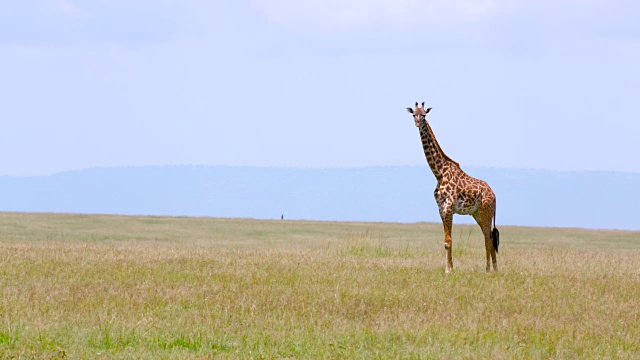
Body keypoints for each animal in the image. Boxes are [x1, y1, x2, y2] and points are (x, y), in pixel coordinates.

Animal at [404, 101, 500, 272]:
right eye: (414, 114)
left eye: (424, 115)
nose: (418, 123)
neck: (439, 173)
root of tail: (494, 195)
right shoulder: (441, 209)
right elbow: (447, 240)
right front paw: (451, 268)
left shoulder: (448, 208)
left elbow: (448, 241)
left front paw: (448, 270)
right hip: (477, 214)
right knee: (487, 236)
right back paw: (493, 269)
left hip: (486, 212)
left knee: (489, 238)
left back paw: (489, 269)